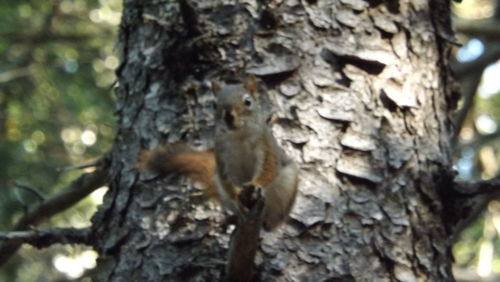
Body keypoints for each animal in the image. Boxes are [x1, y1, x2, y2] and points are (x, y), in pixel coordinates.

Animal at [138, 75, 296, 231]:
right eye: (214, 105)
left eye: (248, 101)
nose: (228, 116)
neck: (239, 137)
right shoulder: (222, 153)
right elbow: (226, 177)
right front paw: (237, 198)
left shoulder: (266, 145)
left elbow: (269, 168)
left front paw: (255, 184)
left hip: (286, 187)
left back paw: (268, 222)